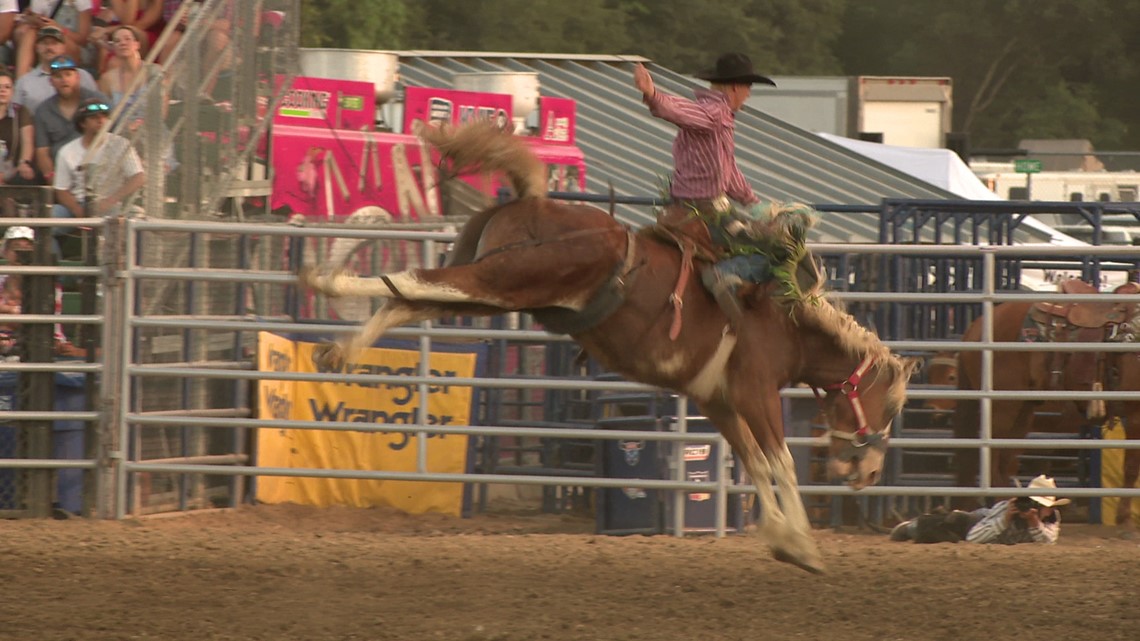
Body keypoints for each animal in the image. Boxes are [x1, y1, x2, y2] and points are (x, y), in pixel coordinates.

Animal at [296, 119, 916, 568]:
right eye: (890, 407)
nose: (869, 474)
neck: (782, 319)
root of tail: (534, 201)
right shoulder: (755, 391)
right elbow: (781, 462)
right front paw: (805, 547)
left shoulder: (718, 400)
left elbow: (755, 464)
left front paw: (783, 541)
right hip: (510, 278)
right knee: (413, 279)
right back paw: (324, 278)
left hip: (496, 290)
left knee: (410, 295)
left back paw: (338, 347)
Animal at [934, 287, 1140, 522]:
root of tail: (977, 326)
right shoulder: (1135, 415)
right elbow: (1132, 467)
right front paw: (1124, 517)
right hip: (1002, 410)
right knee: (993, 459)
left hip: (1022, 414)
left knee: (1004, 462)